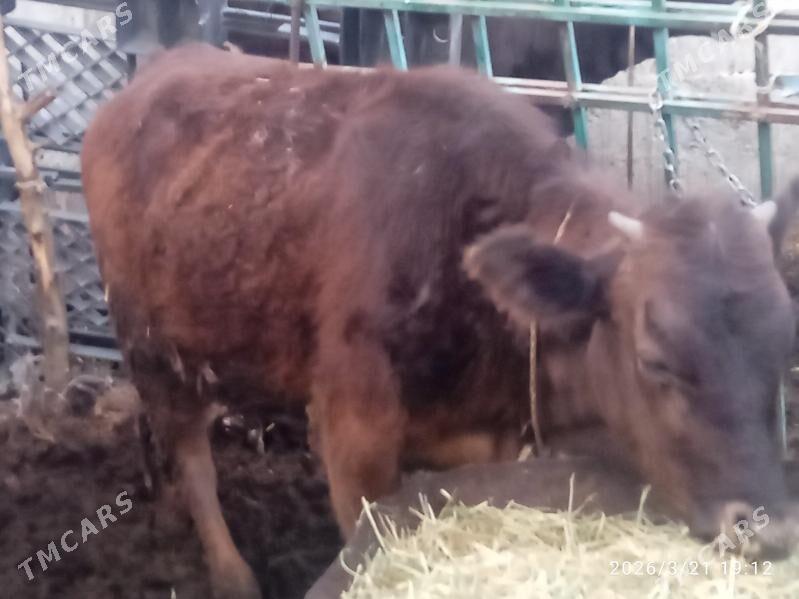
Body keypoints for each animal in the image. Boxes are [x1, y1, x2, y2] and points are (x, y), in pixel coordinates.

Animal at [81, 44, 799, 599]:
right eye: (655, 359)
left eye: (782, 355)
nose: (768, 529)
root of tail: (156, 71)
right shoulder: (353, 430)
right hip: (149, 344)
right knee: (193, 456)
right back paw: (231, 573)